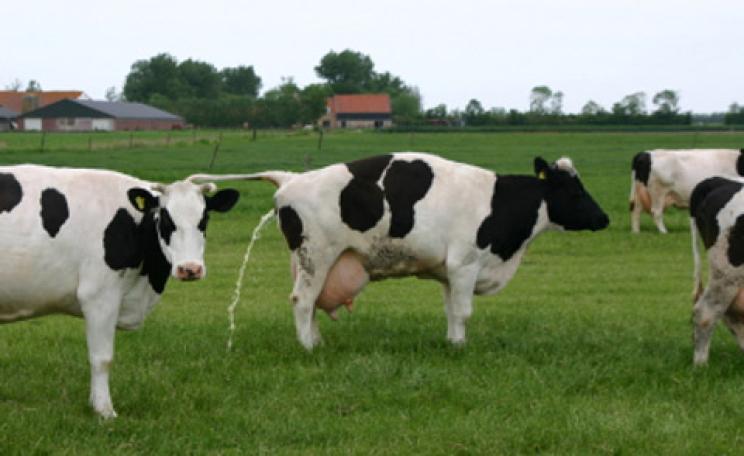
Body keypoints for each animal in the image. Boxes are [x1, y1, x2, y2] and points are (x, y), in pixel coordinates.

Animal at [0, 165, 239, 418]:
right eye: (165, 218)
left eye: (204, 219)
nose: (190, 269)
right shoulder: (99, 296)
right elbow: (102, 358)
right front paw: (105, 411)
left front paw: (95, 403)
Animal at [192, 152, 609, 351]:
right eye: (574, 191)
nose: (604, 218)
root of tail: (293, 179)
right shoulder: (466, 264)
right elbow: (464, 311)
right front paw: (461, 347)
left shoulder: (449, 271)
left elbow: (451, 311)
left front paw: (452, 343)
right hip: (317, 254)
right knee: (302, 301)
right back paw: (308, 348)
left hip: (312, 261)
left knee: (309, 303)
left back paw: (317, 341)